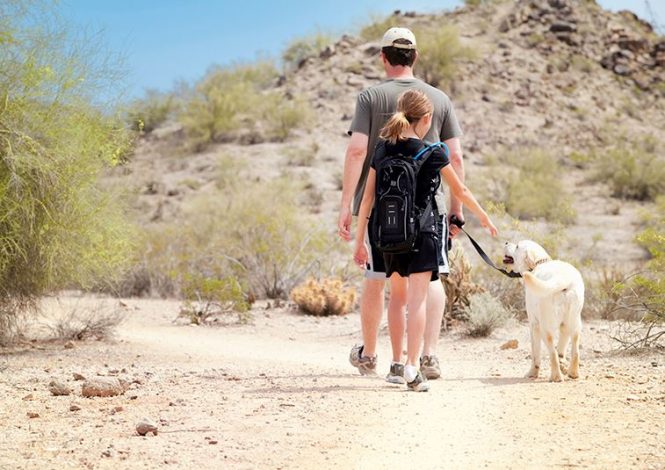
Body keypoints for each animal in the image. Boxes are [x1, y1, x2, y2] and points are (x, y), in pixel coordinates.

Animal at [504, 241, 580, 380]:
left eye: (517, 246)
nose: (506, 242)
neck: (538, 263)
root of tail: (562, 278)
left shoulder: (533, 325)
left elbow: (535, 353)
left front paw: (532, 373)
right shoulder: (562, 326)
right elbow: (561, 351)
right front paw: (563, 366)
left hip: (545, 328)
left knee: (552, 353)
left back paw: (556, 377)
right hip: (574, 324)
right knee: (575, 351)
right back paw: (573, 373)